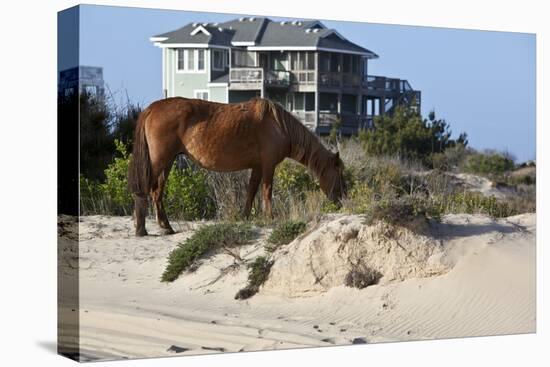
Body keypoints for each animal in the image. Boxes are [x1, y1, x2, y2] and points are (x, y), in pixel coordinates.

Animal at [127, 96, 348, 237]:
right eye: (339, 173)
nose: (342, 199)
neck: (279, 125)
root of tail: (152, 108)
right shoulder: (268, 166)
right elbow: (267, 191)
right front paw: (270, 217)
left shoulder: (257, 167)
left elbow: (251, 192)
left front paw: (245, 217)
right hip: (159, 161)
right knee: (146, 190)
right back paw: (141, 229)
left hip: (168, 162)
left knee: (157, 192)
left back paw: (166, 227)